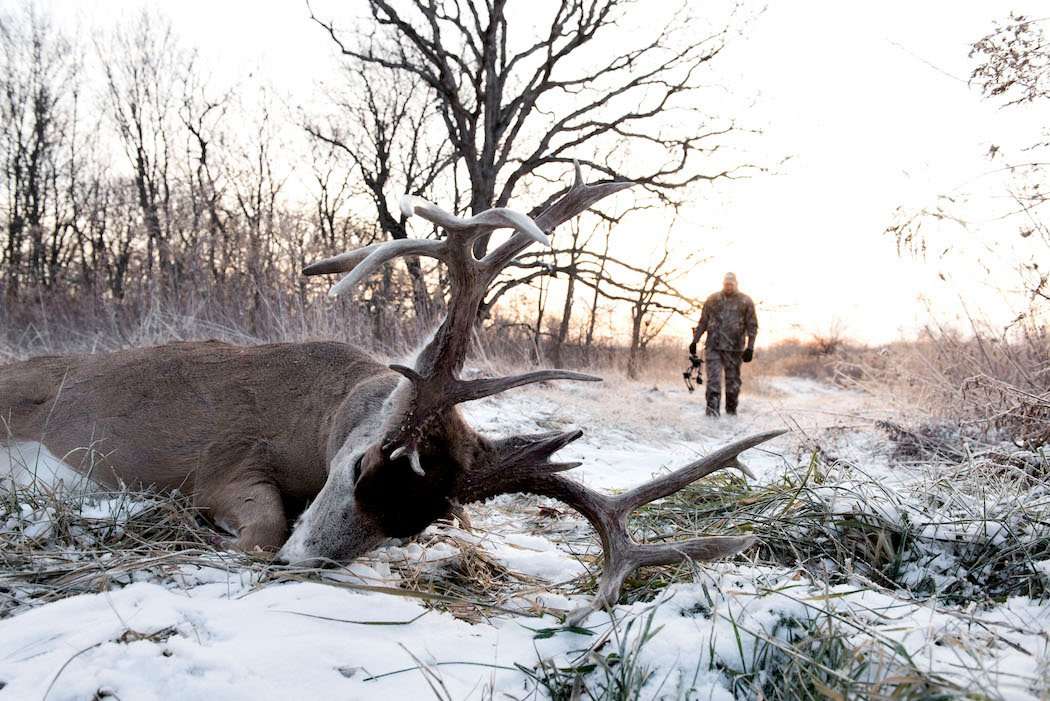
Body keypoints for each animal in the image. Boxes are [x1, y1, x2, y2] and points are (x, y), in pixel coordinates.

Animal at [0, 166, 785, 617]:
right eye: (357, 467)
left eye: (405, 529)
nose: (303, 568)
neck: (319, 411)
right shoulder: (225, 463)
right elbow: (261, 524)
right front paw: (223, 537)